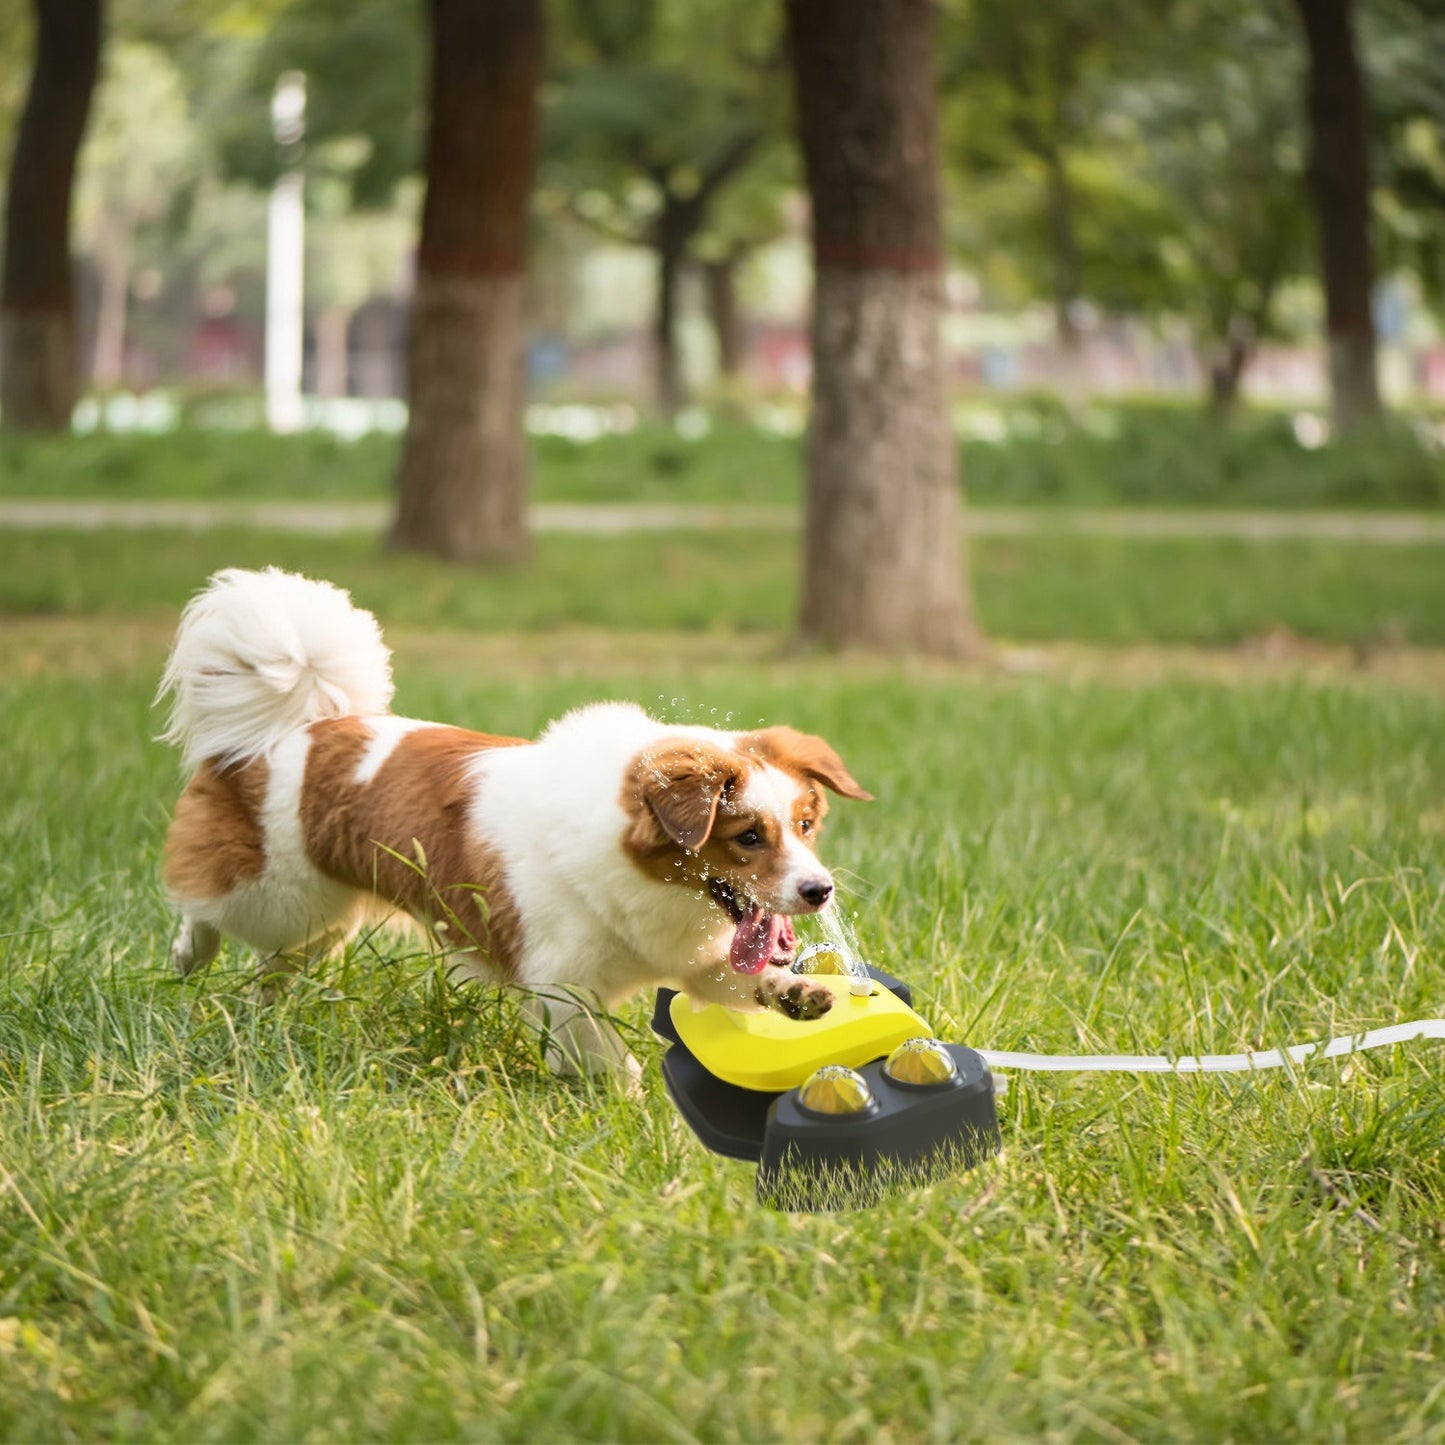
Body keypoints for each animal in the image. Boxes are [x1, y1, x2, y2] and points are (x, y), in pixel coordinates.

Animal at [158, 569, 867, 1080]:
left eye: (806, 825)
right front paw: (634, 1108)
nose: (819, 891)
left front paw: (799, 993)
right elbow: (612, 1060)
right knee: (205, 906)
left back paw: (260, 1013)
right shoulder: (562, 984)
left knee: (272, 966)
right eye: (747, 836)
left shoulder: (691, 959)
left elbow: (745, 977)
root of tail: (294, 729)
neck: (650, 882)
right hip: (278, 897)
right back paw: (189, 959)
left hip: (321, 921)